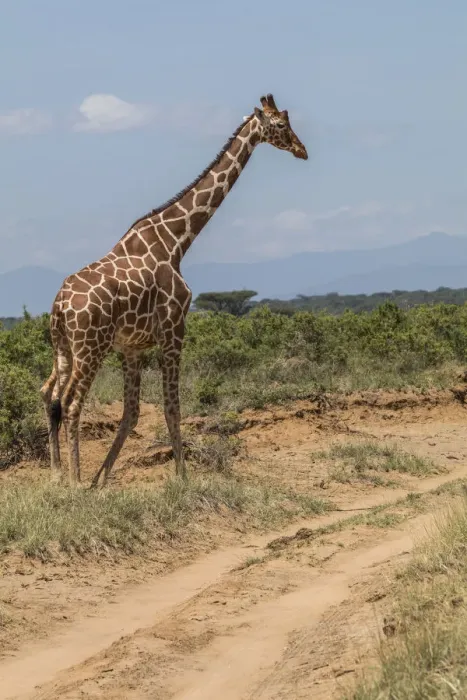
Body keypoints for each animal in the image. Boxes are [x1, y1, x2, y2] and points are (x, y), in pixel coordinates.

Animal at [40, 93, 308, 487]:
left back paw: (58, 474)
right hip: (90, 347)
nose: (302, 149)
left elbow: (132, 412)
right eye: (279, 124)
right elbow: (172, 406)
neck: (176, 240)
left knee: (51, 395)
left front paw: (101, 479)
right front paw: (183, 477)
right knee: (72, 401)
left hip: (62, 346)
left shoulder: (132, 348)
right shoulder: (173, 331)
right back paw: (73, 478)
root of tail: (59, 305)